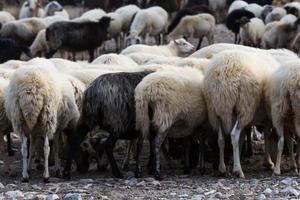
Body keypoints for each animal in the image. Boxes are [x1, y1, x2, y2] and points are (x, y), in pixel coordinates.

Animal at [203, 50, 280, 178]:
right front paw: (268, 162)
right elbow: (267, 135)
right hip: (245, 107)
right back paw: (238, 170)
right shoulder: (268, 117)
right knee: (234, 135)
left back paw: (222, 168)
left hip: (215, 110)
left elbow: (243, 138)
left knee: (221, 139)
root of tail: (223, 73)